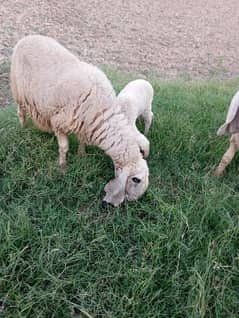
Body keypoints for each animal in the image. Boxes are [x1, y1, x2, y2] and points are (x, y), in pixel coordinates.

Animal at [11, 34, 149, 207]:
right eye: (136, 180)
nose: (132, 202)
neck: (101, 110)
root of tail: (27, 37)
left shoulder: (84, 125)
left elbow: (82, 141)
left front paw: (82, 155)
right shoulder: (59, 121)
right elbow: (64, 147)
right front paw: (63, 166)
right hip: (19, 92)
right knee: (21, 113)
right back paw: (23, 129)